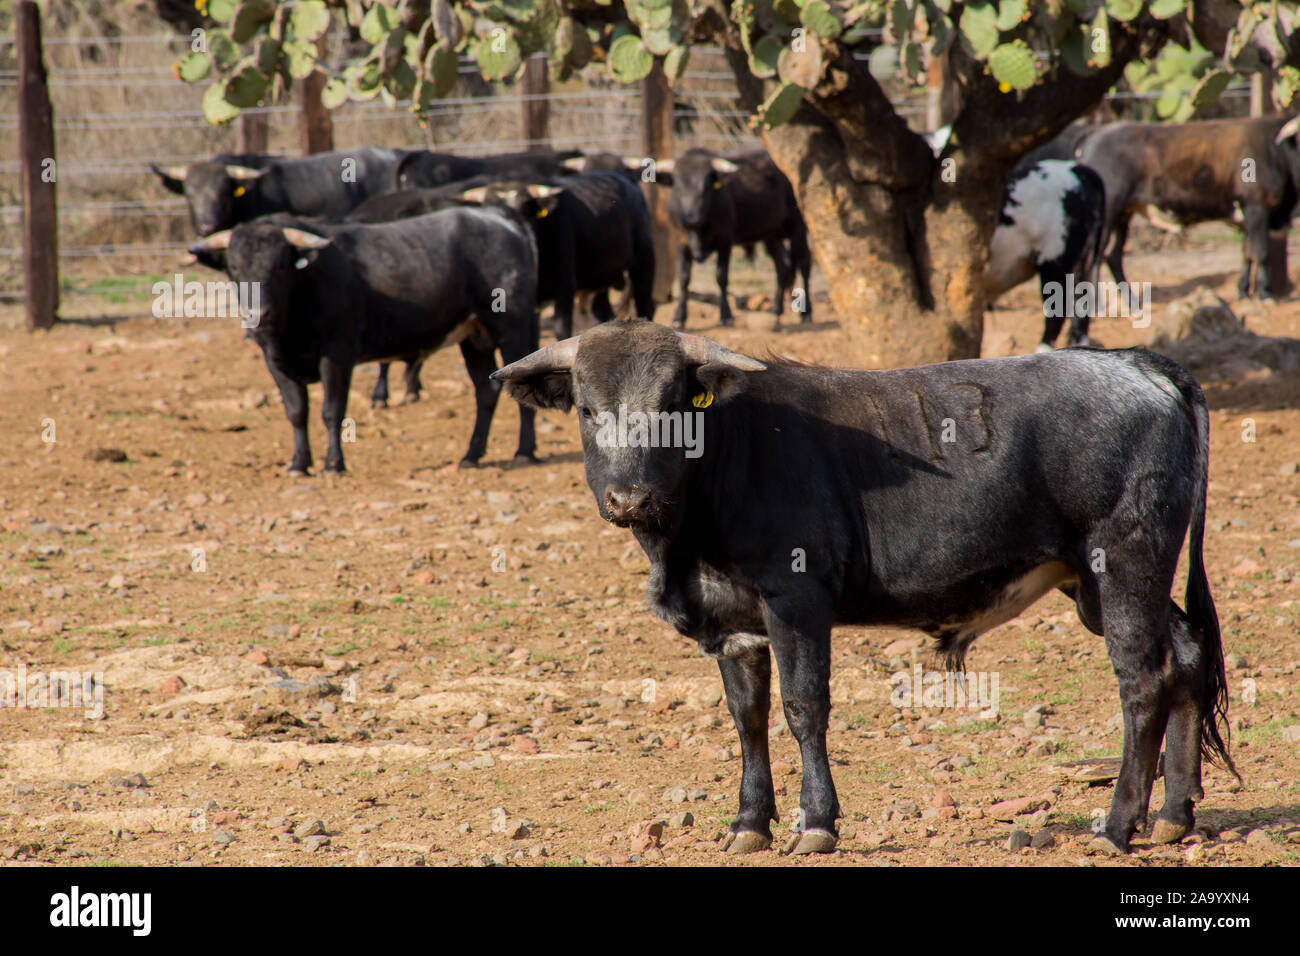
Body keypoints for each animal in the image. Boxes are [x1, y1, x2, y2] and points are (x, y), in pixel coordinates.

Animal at [187, 207, 540, 474]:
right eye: (234, 267)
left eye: (279, 265)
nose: (258, 313)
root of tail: (497, 217)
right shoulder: (275, 361)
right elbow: (297, 411)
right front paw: (299, 464)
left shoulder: (337, 355)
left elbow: (332, 410)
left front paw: (333, 464)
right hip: (473, 337)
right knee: (485, 391)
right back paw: (471, 455)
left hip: (513, 327)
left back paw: (524, 452)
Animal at [492, 319, 1235, 857]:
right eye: (588, 410)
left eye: (672, 405)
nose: (630, 497)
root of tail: (1135, 363)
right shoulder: (734, 625)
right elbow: (748, 717)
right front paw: (749, 823)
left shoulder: (797, 601)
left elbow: (803, 707)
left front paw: (816, 823)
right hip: (1100, 586)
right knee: (1187, 656)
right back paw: (1174, 812)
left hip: (1125, 564)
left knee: (1142, 680)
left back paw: (1117, 825)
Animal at [653, 147, 812, 329]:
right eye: (677, 187)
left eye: (706, 187)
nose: (692, 218)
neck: (697, 230)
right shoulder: (680, 241)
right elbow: (684, 278)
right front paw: (679, 316)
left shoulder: (725, 238)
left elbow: (721, 276)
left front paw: (726, 316)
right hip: (772, 235)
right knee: (782, 267)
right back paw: (775, 310)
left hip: (799, 225)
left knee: (804, 263)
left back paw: (806, 313)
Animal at [1074, 115, 1300, 298]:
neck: (1277, 150)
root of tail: (1095, 133)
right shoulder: (1257, 208)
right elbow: (1260, 252)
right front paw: (1265, 292)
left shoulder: (1248, 218)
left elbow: (1247, 252)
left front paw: (1243, 290)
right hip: (1108, 214)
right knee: (1094, 258)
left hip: (1124, 214)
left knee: (1113, 257)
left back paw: (1132, 302)